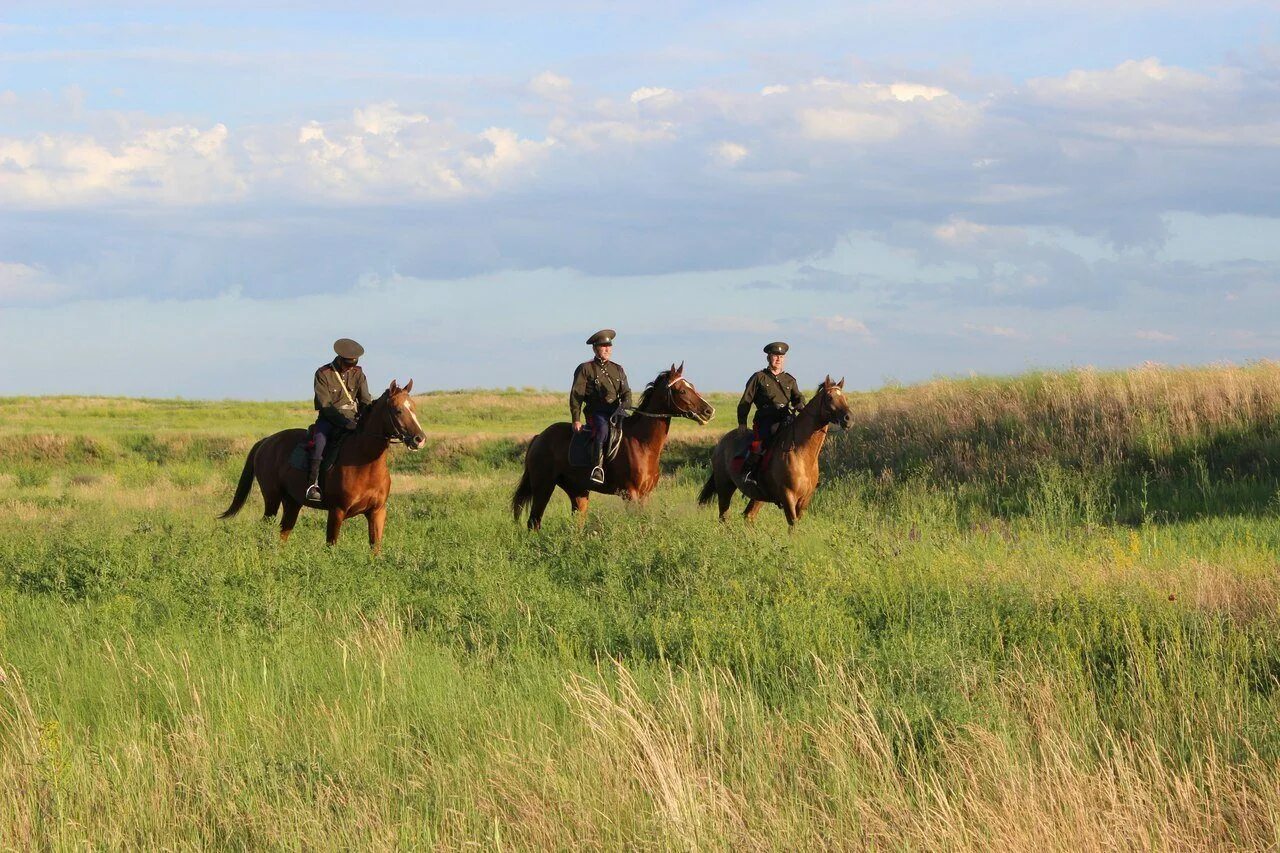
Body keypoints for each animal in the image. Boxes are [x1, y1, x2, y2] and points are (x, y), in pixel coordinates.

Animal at [222, 379, 427, 550]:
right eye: (398, 410)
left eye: (414, 408)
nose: (420, 439)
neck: (364, 462)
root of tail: (266, 441)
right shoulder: (337, 512)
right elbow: (331, 547)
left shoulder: (377, 512)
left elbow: (375, 548)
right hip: (272, 499)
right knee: (266, 528)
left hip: (292, 503)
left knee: (283, 533)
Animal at [517, 361, 721, 527]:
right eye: (682, 390)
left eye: (692, 386)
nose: (709, 411)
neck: (642, 444)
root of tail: (539, 437)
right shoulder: (630, 495)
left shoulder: (645, 495)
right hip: (543, 486)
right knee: (534, 521)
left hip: (577, 490)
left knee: (577, 522)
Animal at [701, 373, 849, 525]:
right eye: (830, 398)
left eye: (845, 398)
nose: (848, 418)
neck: (800, 453)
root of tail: (722, 443)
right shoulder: (788, 496)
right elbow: (793, 524)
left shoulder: (804, 500)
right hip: (724, 486)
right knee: (724, 516)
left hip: (758, 496)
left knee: (748, 516)